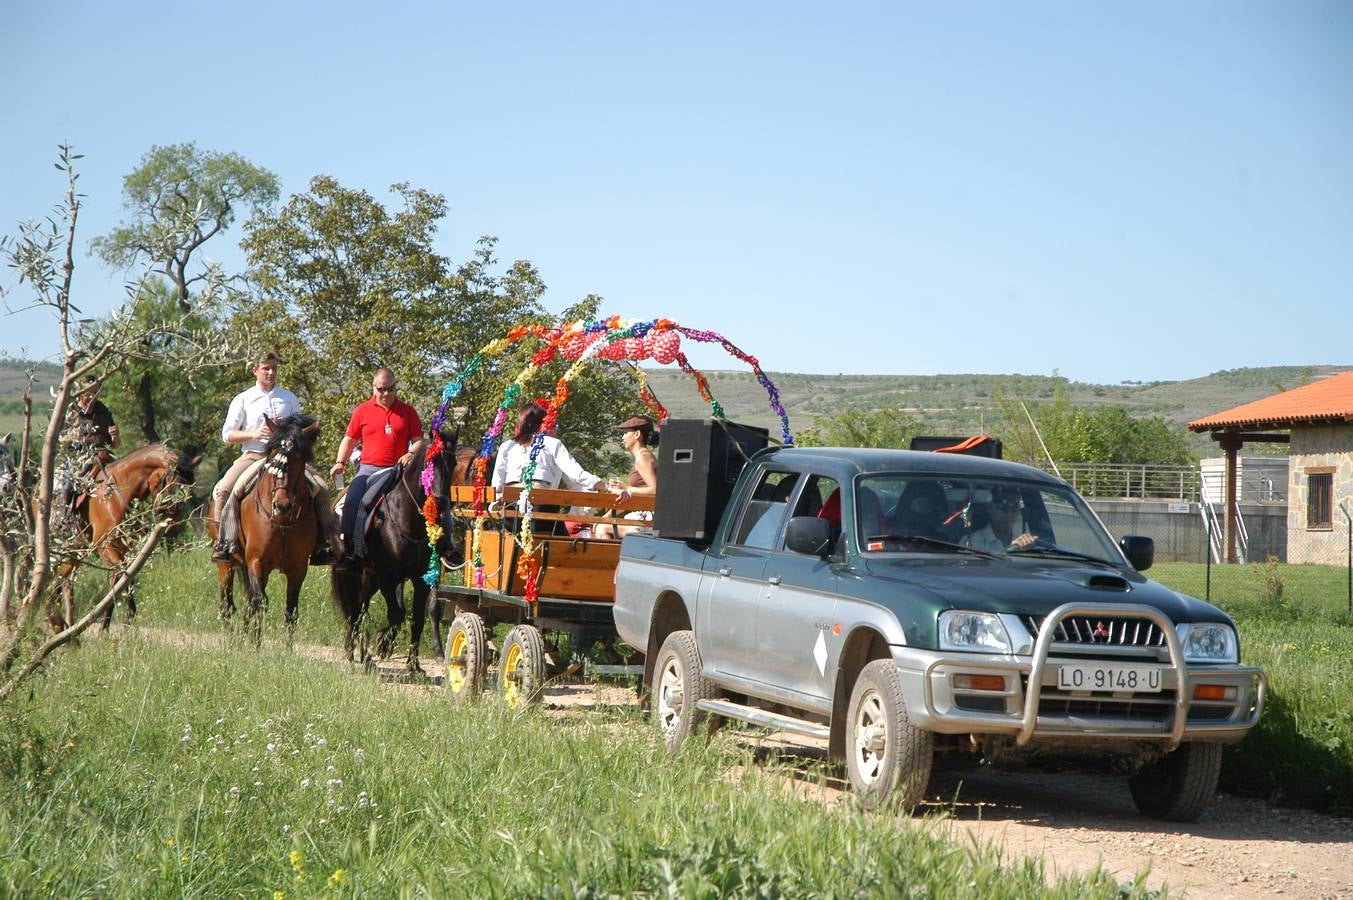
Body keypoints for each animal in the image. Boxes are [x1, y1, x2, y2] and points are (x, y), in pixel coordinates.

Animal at [60, 443, 200, 627]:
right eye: (173, 485)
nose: (173, 523)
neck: (116, 493)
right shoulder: (104, 545)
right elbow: (120, 575)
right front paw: (106, 624)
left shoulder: (127, 548)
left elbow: (127, 576)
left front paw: (128, 617)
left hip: (75, 553)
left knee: (63, 582)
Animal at [216, 414, 322, 646]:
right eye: (273, 458)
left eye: (299, 460)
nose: (282, 505)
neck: (282, 522)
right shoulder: (257, 560)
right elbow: (260, 602)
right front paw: (256, 645)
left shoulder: (299, 567)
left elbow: (291, 610)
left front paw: (288, 649)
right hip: (227, 565)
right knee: (227, 603)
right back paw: (232, 639)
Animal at [332, 427, 470, 665]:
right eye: (430, 463)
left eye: (452, 463)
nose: (440, 504)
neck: (406, 517)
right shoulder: (386, 575)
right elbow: (397, 614)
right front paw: (382, 643)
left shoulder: (420, 577)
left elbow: (418, 617)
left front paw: (414, 665)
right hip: (353, 574)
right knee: (353, 608)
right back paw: (354, 651)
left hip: (369, 576)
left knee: (361, 605)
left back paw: (363, 652)